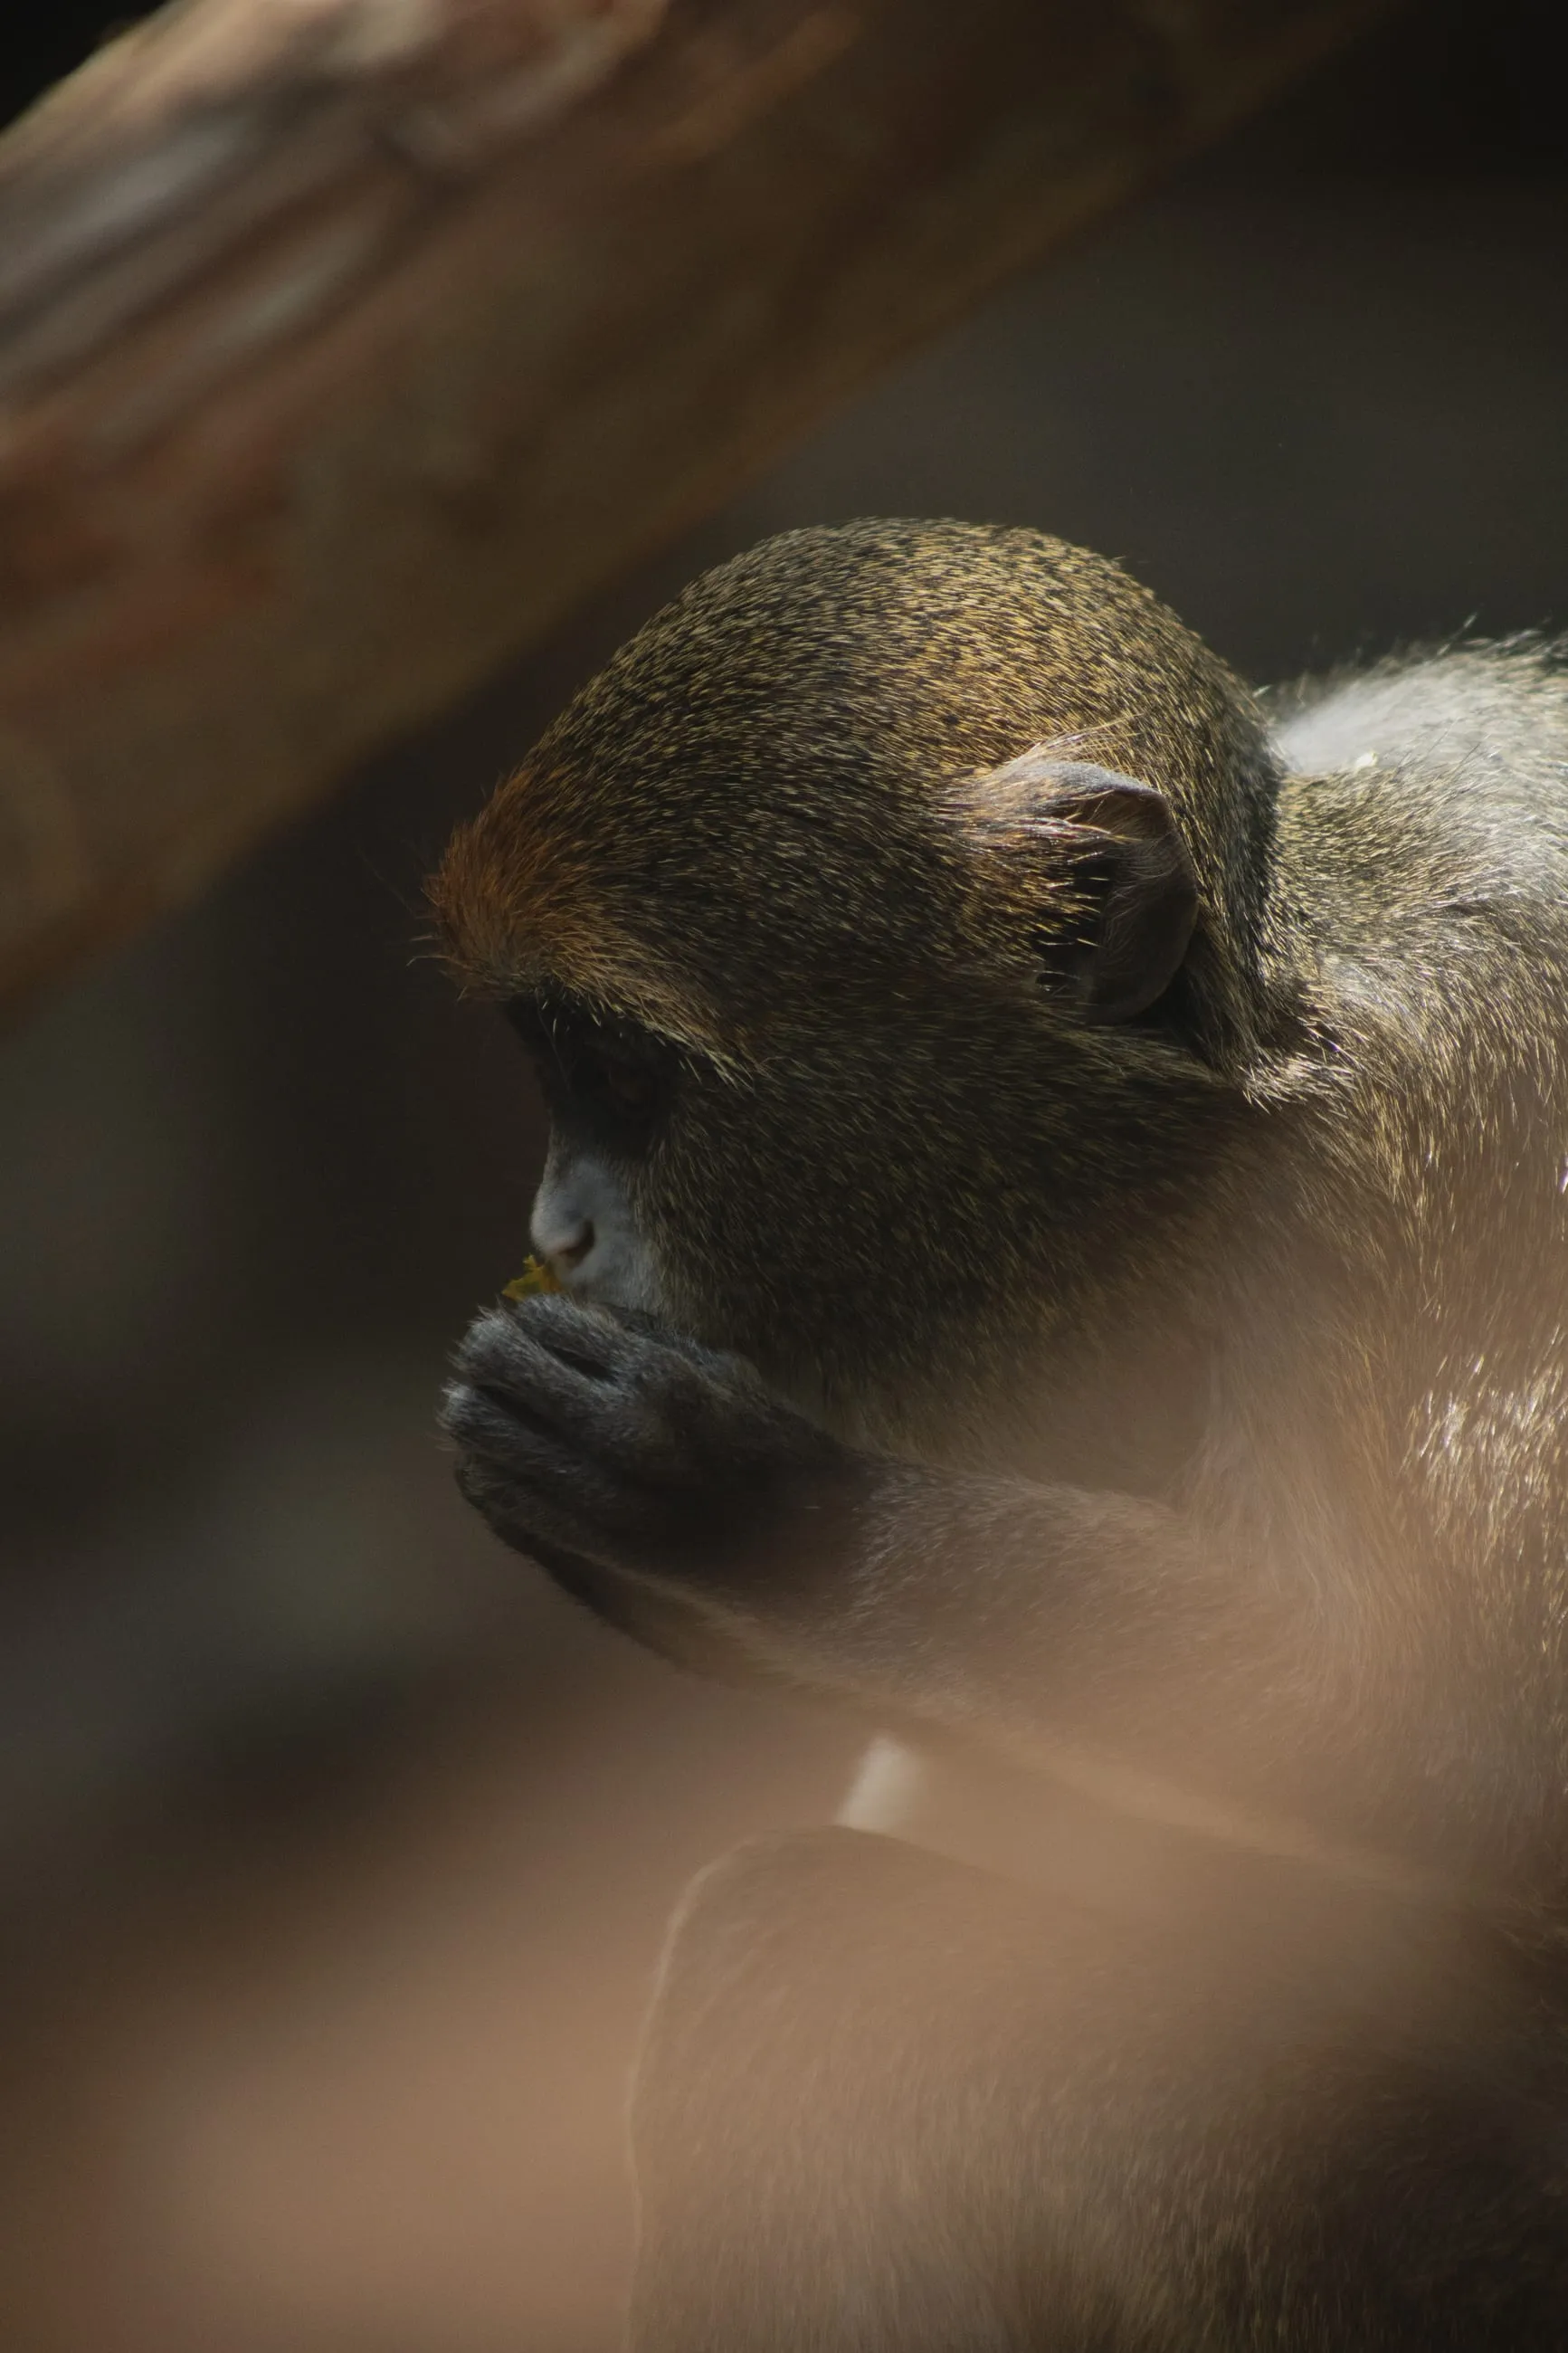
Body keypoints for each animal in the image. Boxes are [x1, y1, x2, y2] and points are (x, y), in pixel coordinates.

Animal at [430, 519, 1568, 2348]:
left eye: (618, 1069)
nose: (560, 1225)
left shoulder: (1456, 1126)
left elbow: (1483, 1760)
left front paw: (762, 1519)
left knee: (794, 1969)